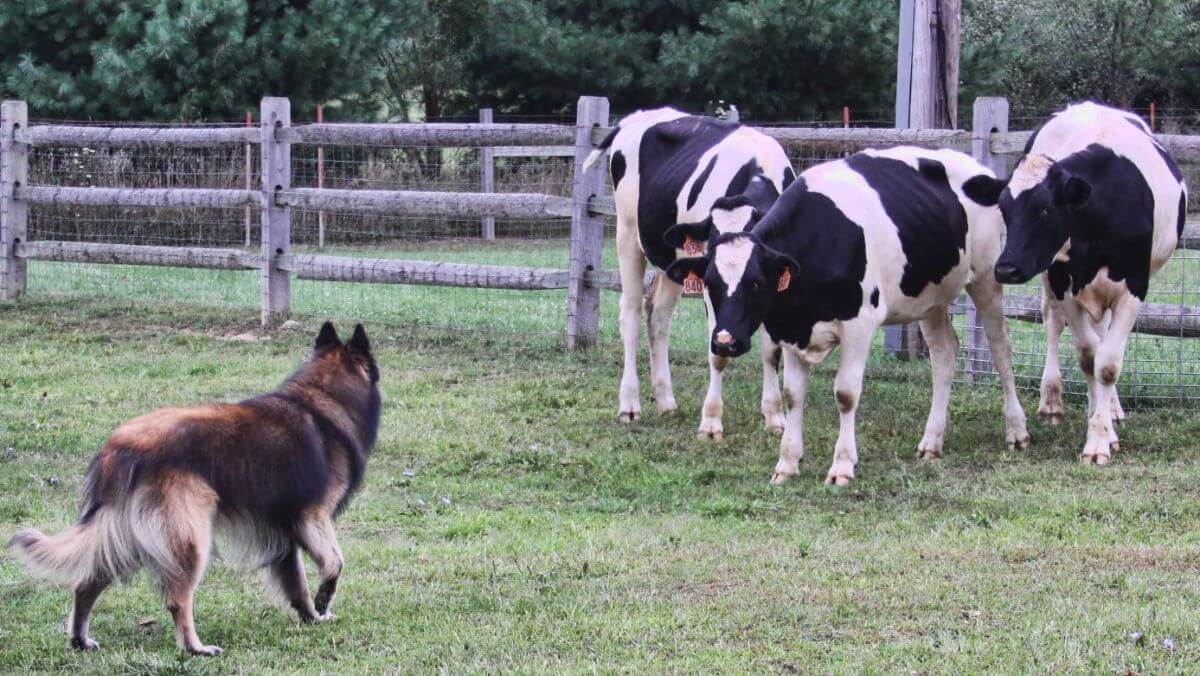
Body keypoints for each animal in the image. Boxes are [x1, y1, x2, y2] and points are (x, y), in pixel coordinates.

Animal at [5, 321, 379, 657]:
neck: (322, 399)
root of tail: (121, 450)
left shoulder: (282, 531)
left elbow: (296, 582)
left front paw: (310, 615)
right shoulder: (312, 517)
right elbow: (334, 562)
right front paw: (323, 602)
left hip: (124, 536)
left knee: (85, 584)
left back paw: (80, 640)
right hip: (189, 539)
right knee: (177, 599)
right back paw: (194, 647)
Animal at [583, 108, 796, 437]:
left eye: (755, 283)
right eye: (711, 280)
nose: (730, 342)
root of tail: (637, 116)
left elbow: (771, 351)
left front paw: (774, 416)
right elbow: (716, 357)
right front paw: (710, 422)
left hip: (673, 261)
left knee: (658, 316)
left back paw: (665, 400)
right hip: (627, 235)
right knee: (630, 314)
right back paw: (629, 404)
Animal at [667, 148, 1032, 487]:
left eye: (755, 282)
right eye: (710, 283)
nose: (724, 341)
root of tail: (976, 166)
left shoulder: (859, 326)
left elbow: (845, 394)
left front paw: (842, 466)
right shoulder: (791, 328)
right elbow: (792, 395)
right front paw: (787, 464)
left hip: (987, 277)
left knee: (1000, 347)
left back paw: (1016, 430)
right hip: (930, 297)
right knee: (944, 354)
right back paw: (932, 441)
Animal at [960, 102, 1185, 465]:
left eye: (1045, 209)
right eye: (1003, 209)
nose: (1006, 268)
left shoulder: (1135, 286)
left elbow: (1107, 364)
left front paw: (1101, 434)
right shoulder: (1061, 281)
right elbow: (1089, 356)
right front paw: (1101, 431)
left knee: (1102, 335)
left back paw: (1112, 409)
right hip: (1050, 279)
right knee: (1054, 323)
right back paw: (1053, 401)